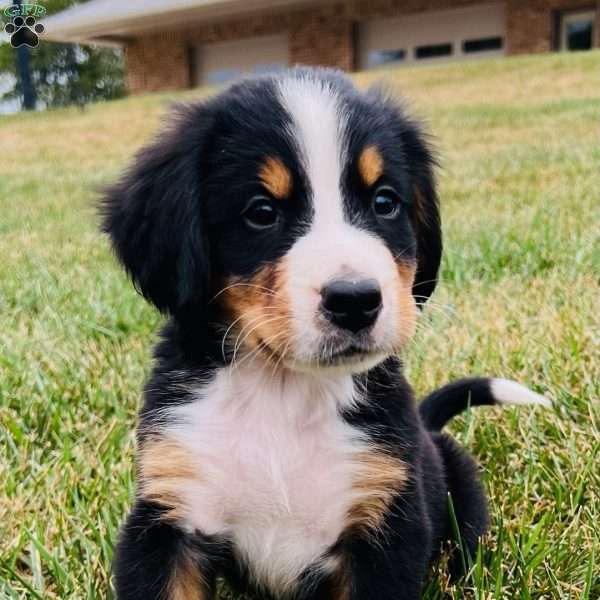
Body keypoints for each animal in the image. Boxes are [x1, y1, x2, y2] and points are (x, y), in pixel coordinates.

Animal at [102, 67, 548, 600]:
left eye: (384, 201)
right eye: (261, 211)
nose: (355, 300)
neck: (283, 394)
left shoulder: (383, 528)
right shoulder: (169, 517)